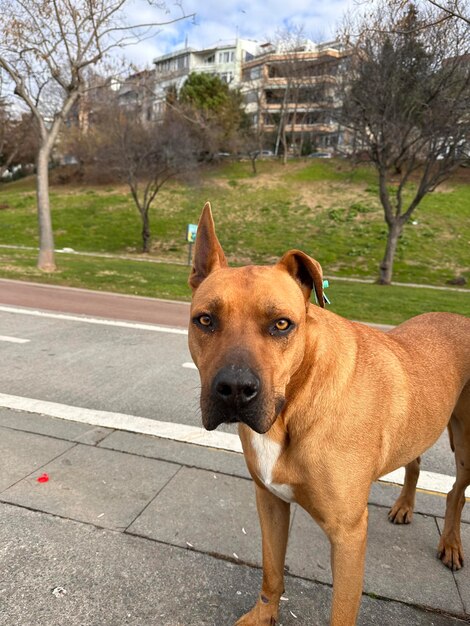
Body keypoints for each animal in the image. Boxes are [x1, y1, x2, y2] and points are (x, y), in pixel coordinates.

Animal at [187, 202, 470, 620]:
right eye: (205, 320)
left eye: (282, 324)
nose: (235, 390)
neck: (293, 407)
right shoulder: (269, 500)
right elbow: (272, 572)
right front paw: (264, 616)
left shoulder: (348, 535)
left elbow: (342, 612)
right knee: (414, 462)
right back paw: (404, 505)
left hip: (466, 443)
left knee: (456, 492)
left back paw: (450, 543)